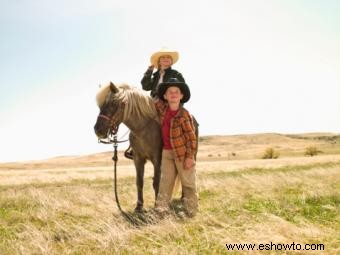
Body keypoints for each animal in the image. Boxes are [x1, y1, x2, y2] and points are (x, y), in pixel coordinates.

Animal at [93, 81, 199, 211]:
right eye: (100, 105)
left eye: (113, 103)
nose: (98, 130)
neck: (143, 129)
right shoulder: (138, 159)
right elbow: (139, 182)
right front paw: (139, 206)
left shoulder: (157, 159)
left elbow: (156, 182)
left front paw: (156, 205)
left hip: (191, 155)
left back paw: (184, 198)